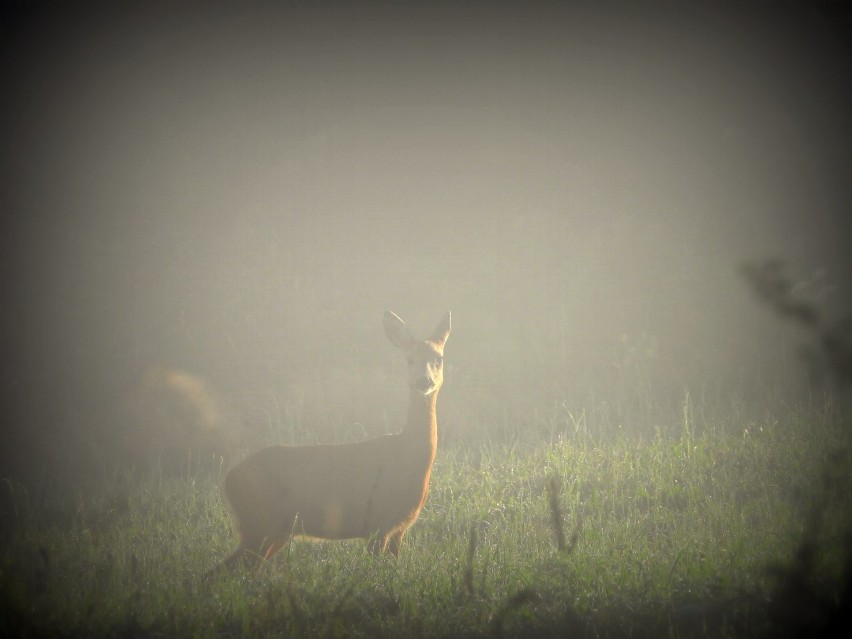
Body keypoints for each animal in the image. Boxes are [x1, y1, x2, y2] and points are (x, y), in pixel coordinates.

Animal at [213, 312, 450, 576]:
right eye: (409, 359)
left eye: (438, 358)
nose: (423, 381)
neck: (407, 456)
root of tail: (229, 479)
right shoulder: (376, 524)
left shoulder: (399, 529)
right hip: (259, 525)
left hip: (273, 532)